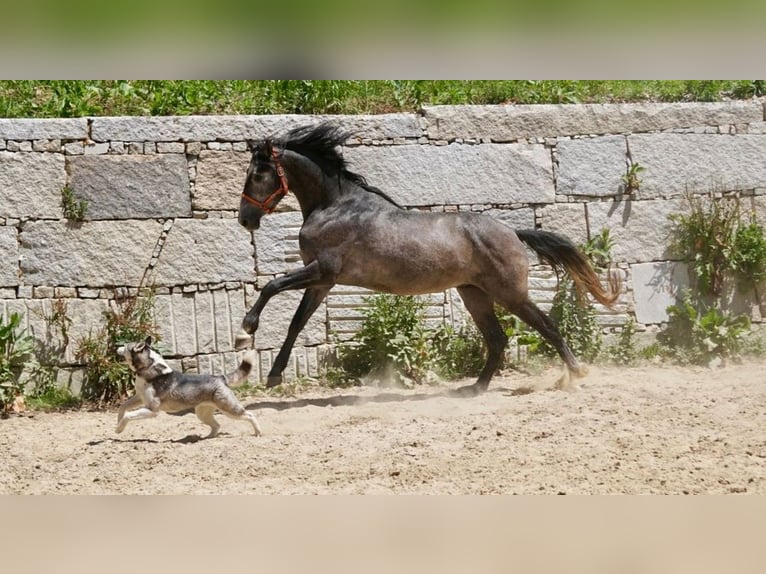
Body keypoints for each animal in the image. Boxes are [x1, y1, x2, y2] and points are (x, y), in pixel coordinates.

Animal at [114, 336, 262, 438]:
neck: (149, 367)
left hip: (228, 409)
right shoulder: (139, 398)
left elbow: (128, 415)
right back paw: (206, 438)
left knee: (250, 415)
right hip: (202, 414)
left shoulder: (152, 410)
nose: (115, 347)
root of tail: (220, 378)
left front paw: (119, 429)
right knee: (216, 425)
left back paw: (258, 432)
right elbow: (123, 407)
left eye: (125, 346)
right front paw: (117, 423)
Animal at [234, 124, 616, 396]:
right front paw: (274, 375)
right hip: (474, 294)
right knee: (497, 339)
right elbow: (296, 323)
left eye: (257, 174)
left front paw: (245, 331)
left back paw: (576, 373)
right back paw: (475, 388)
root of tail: (512, 231)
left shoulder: (322, 270)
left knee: (546, 326)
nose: (245, 219)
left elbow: (271, 286)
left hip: (510, 294)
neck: (336, 206)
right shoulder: (323, 282)